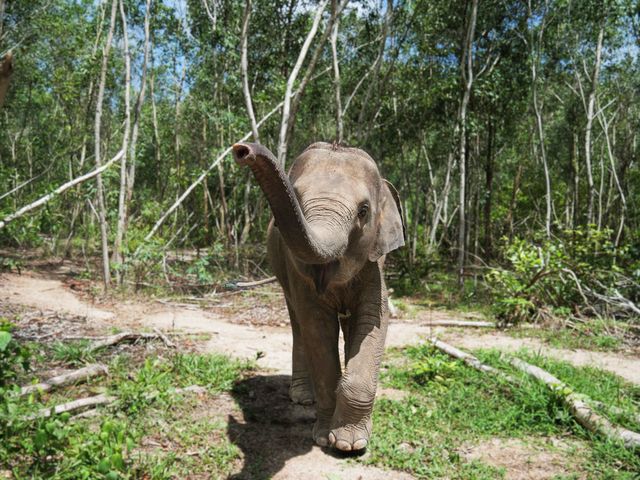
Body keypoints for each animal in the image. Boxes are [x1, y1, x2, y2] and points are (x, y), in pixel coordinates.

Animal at [231, 141, 404, 452]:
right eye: (297, 199)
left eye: (363, 211)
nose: (242, 150)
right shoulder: (296, 269)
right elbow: (317, 325)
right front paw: (326, 438)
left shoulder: (375, 263)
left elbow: (373, 319)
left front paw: (350, 444)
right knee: (299, 324)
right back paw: (303, 398)